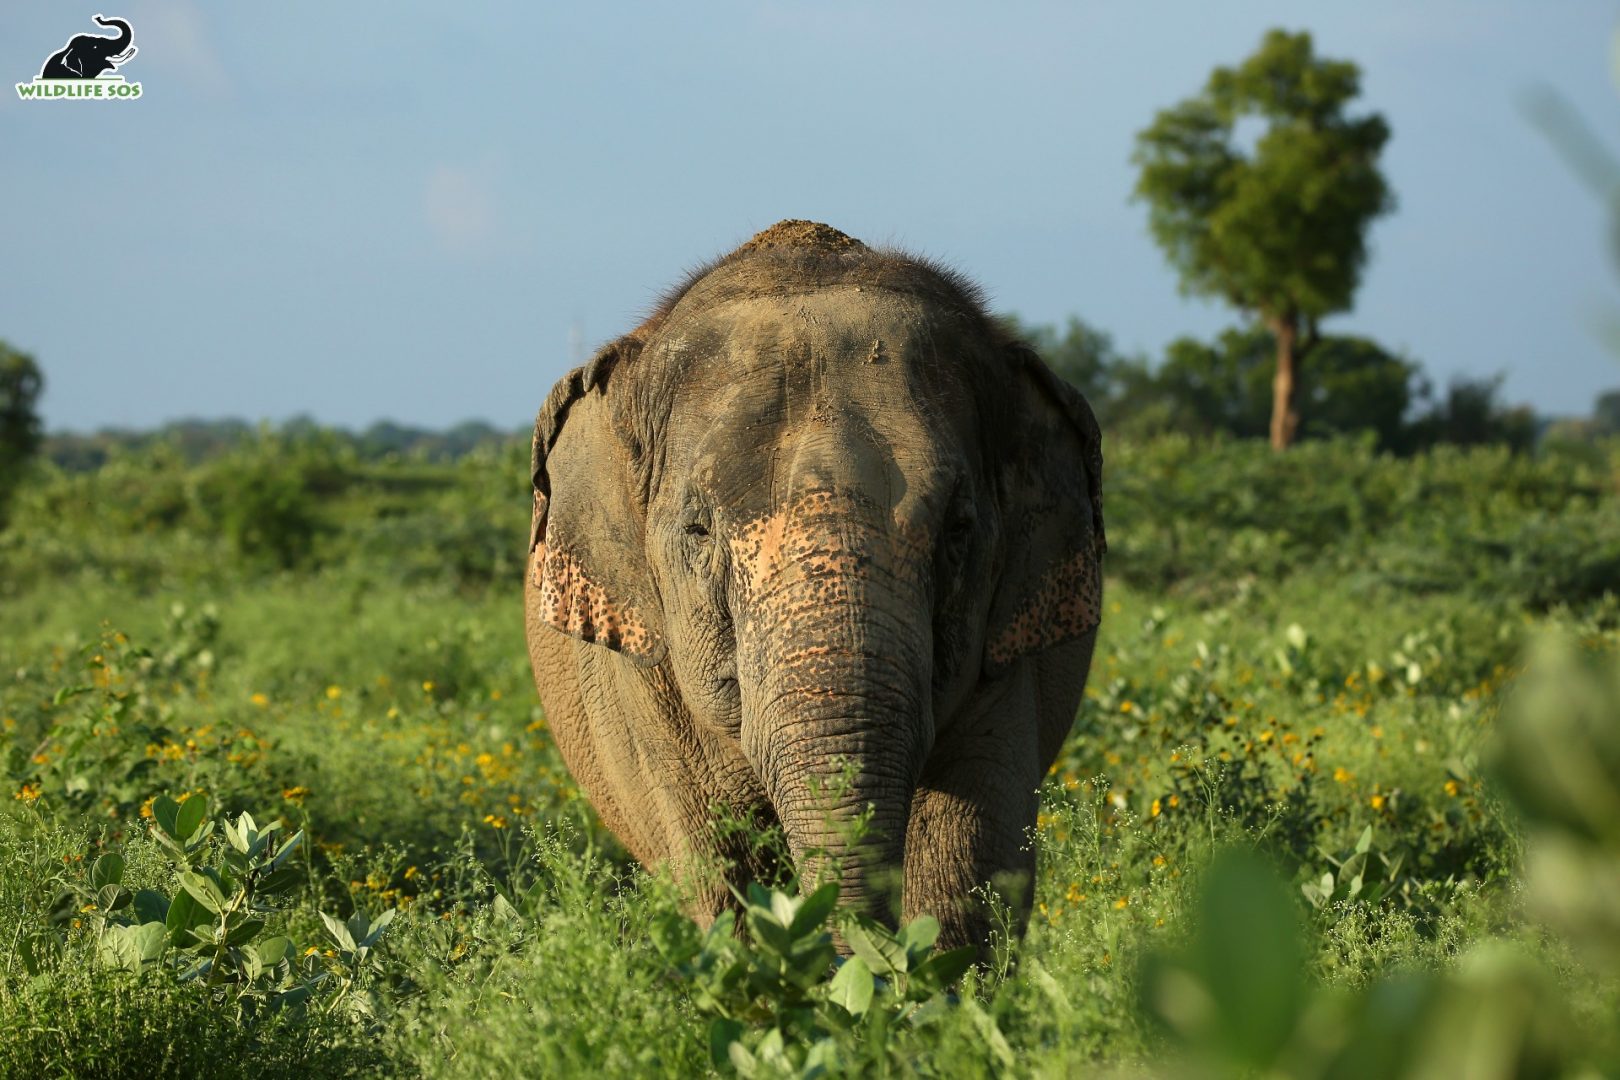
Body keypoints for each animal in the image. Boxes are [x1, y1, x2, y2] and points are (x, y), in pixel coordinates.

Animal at [524, 221, 1108, 952]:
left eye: (958, 528)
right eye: (698, 529)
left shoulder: (1005, 648)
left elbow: (969, 848)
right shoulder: (641, 674)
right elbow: (717, 865)